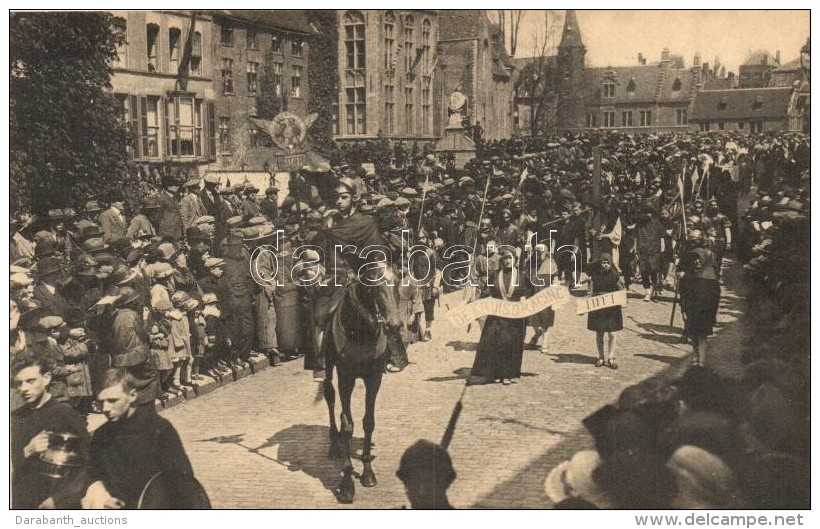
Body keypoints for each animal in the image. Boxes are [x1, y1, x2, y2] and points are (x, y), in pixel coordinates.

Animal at [324, 266, 406, 502]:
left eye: (397, 282)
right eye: (374, 286)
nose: (394, 324)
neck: (361, 331)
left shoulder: (374, 378)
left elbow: (368, 422)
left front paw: (368, 472)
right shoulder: (346, 378)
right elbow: (347, 425)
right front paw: (347, 482)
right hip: (327, 365)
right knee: (329, 396)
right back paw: (334, 445)